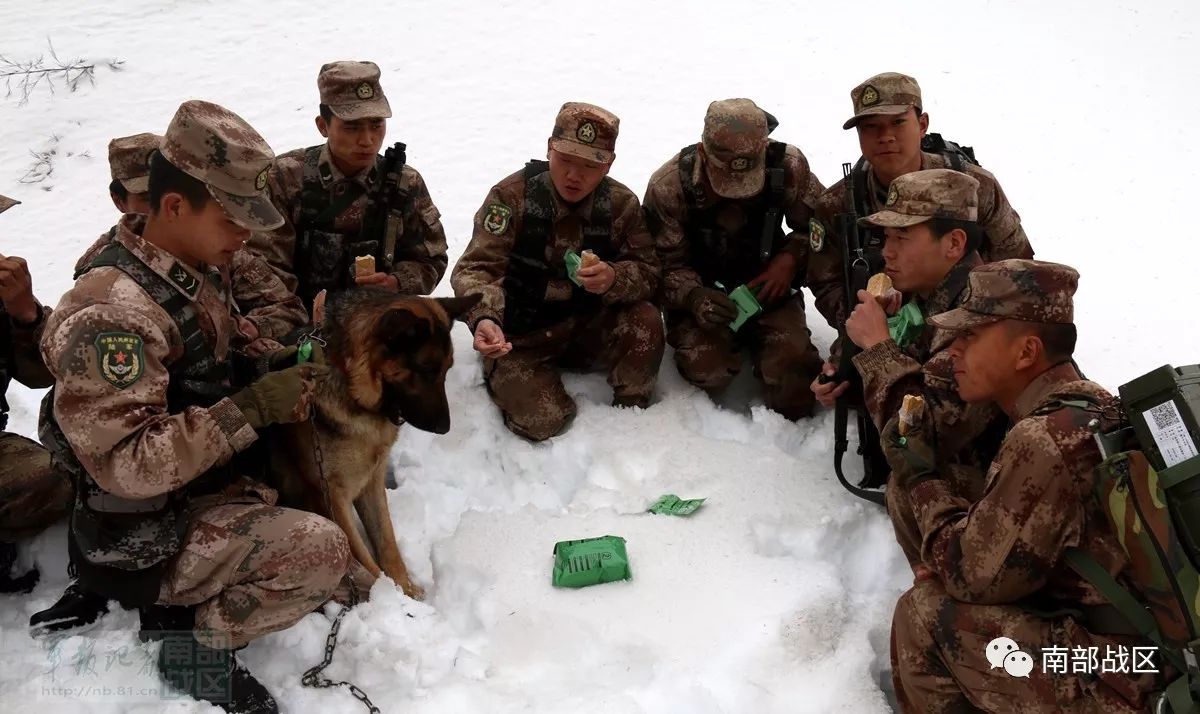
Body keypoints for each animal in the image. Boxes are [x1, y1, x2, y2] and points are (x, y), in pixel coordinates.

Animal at [270, 288, 480, 600]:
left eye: (446, 369)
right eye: (427, 369)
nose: (445, 428)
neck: (351, 386)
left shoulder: (371, 482)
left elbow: (387, 543)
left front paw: (405, 591)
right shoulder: (331, 496)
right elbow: (362, 557)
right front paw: (389, 597)